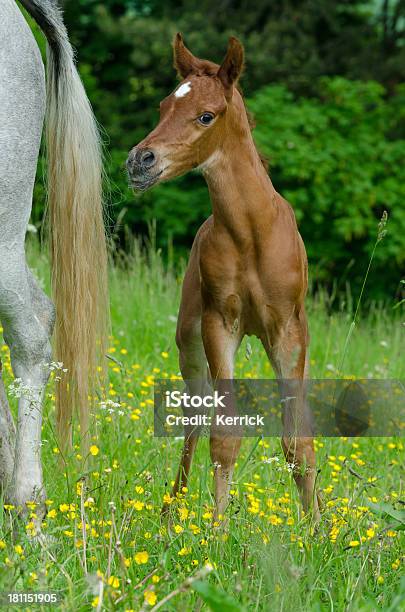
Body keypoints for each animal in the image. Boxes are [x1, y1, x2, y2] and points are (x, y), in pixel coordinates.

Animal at [128, 33, 320, 520]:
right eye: (163, 106)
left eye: (206, 115)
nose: (139, 161)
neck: (251, 231)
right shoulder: (220, 325)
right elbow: (224, 435)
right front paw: (216, 530)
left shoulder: (287, 330)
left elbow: (299, 440)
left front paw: (317, 528)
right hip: (189, 344)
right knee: (194, 422)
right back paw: (171, 511)